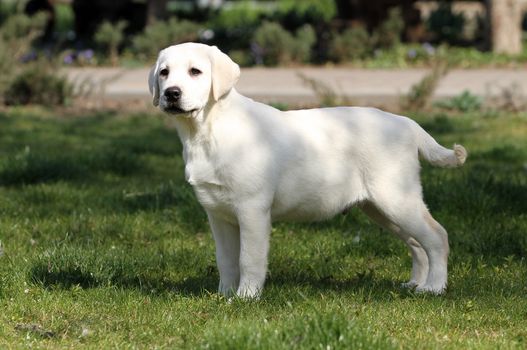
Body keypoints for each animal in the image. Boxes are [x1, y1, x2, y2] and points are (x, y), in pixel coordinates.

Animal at [147, 41, 466, 298]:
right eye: (164, 73)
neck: (207, 129)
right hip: (381, 207)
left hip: (396, 198)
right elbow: (225, 259)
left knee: (437, 237)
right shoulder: (218, 214)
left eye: (195, 72)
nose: (172, 94)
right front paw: (223, 295)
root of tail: (406, 122)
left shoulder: (252, 209)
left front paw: (245, 297)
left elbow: (248, 258)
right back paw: (415, 284)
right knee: (416, 243)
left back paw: (434, 288)